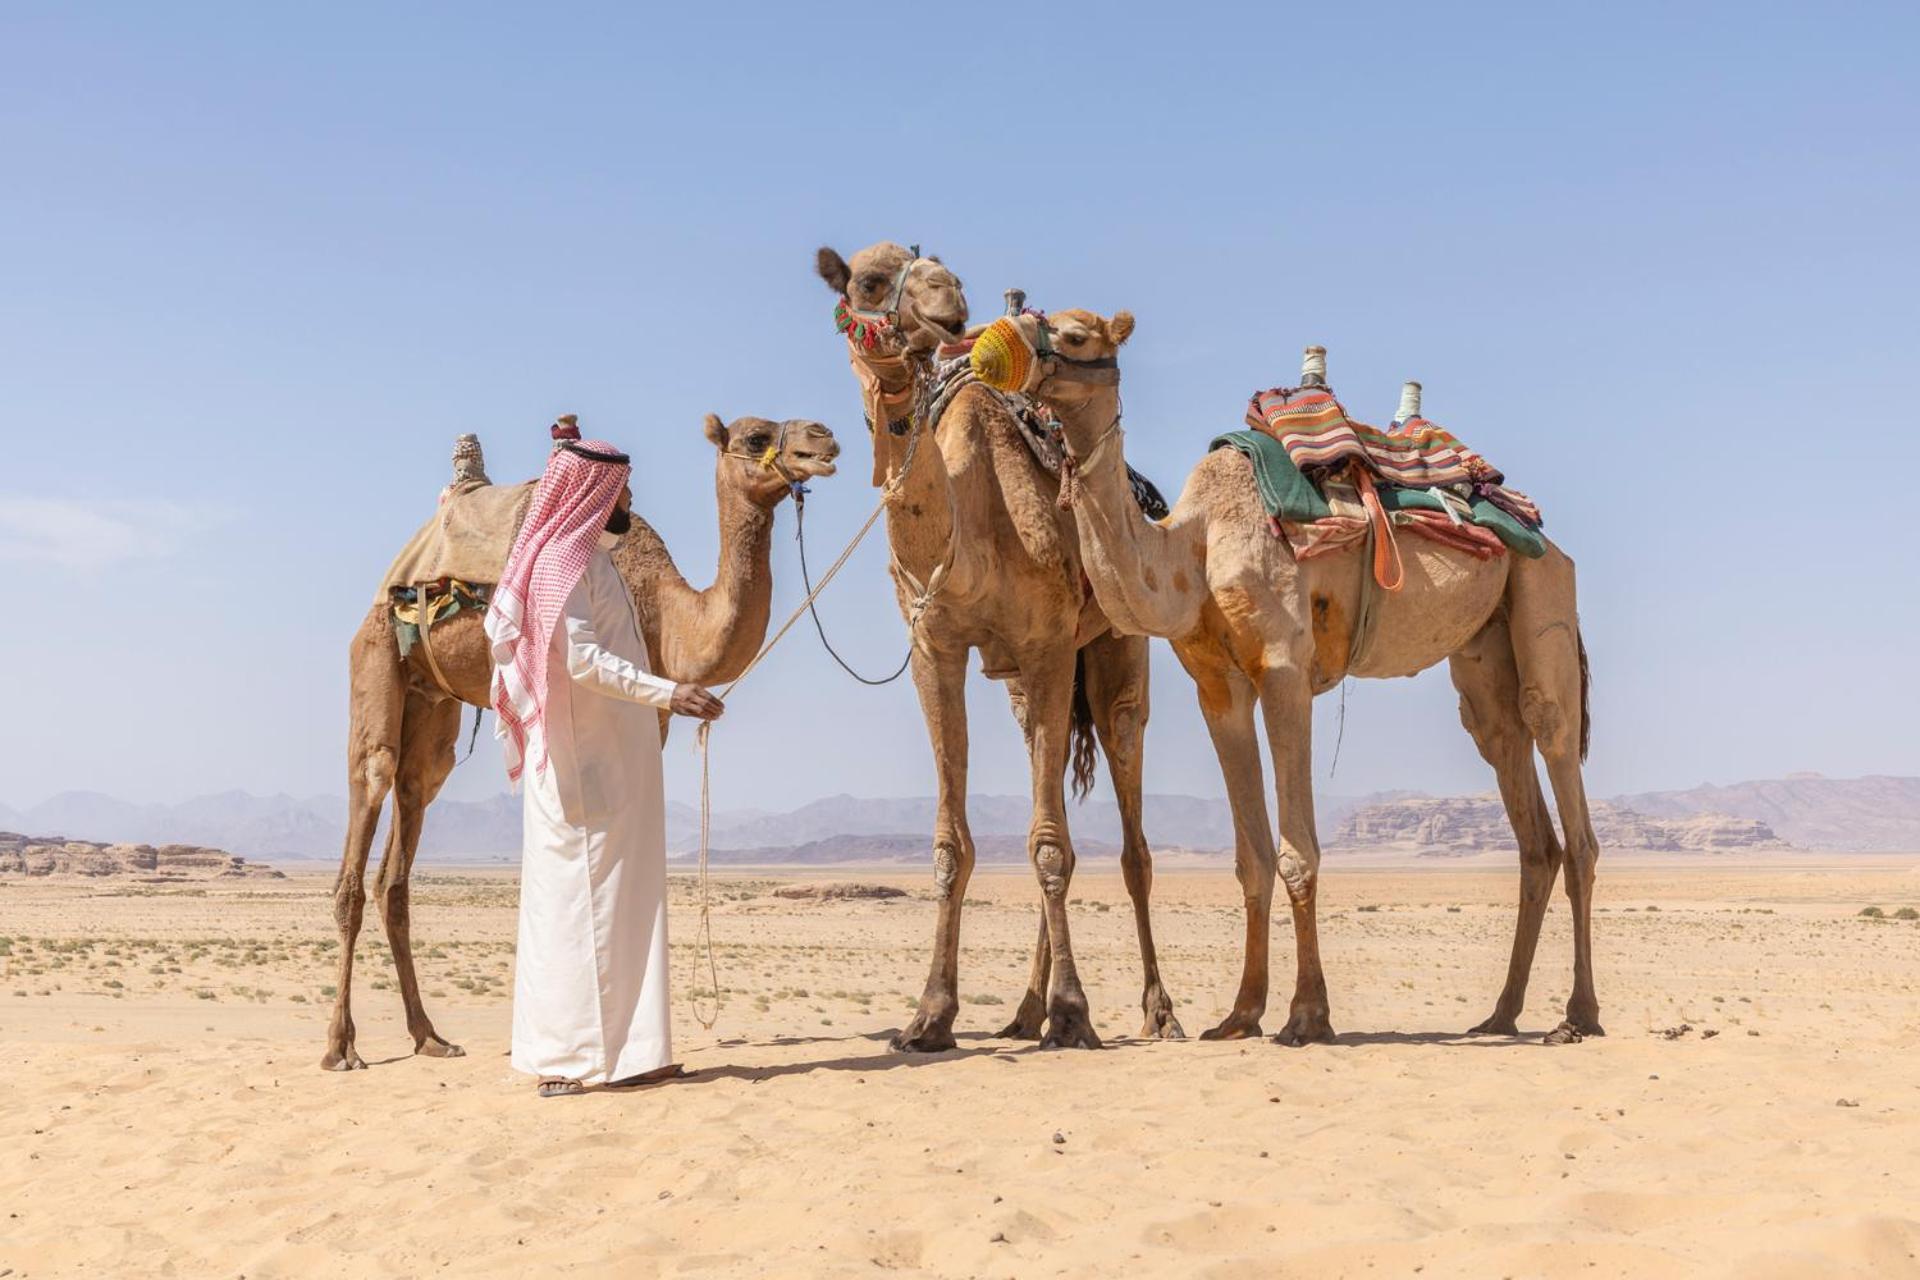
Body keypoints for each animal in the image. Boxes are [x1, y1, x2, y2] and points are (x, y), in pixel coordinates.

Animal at [318, 412, 837, 1074]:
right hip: (376, 654)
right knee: (372, 784)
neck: (672, 614)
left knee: (411, 808)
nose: (822, 440)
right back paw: (342, 1046)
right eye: (754, 438)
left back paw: (429, 1035)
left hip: (431, 701)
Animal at [806, 242, 1175, 1051]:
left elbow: (1049, 845)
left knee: (1130, 834)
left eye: (936, 267)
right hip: (1021, 686)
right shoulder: (933, 651)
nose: (948, 302)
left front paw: (1073, 1012)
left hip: (1117, 652)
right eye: (869, 280)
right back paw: (1024, 1009)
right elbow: (955, 844)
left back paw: (1156, 1010)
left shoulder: (1048, 645)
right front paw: (930, 1015)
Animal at [983, 305, 1597, 1043]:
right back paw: (1500, 1014)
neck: (1194, 547)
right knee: (1517, 783)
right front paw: (1240, 1014)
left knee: (1561, 766)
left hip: (1542, 590)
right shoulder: (1217, 688)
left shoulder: (1284, 670)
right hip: (1483, 650)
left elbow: (1297, 851)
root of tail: (1544, 533)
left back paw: (1578, 1015)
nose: (994, 352)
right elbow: (1250, 857)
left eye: (1075, 335)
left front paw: (1306, 1015)